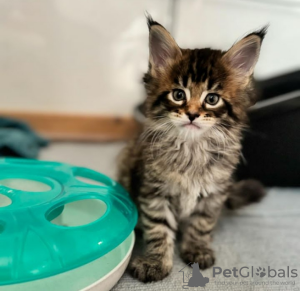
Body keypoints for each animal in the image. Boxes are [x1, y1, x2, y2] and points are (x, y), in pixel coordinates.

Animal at [118, 16, 266, 282]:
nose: (192, 114)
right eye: (179, 94)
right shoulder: (154, 191)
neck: (192, 149)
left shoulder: (213, 194)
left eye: (212, 99)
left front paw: (197, 249)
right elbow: (158, 228)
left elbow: (201, 224)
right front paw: (156, 262)